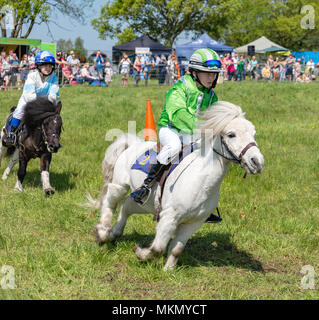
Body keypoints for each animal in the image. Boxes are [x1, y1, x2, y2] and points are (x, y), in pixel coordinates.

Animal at [90, 102, 264, 270]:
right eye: (231, 134)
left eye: (253, 133)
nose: (257, 162)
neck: (200, 181)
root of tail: (134, 144)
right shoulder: (169, 218)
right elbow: (158, 248)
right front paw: (140, 253)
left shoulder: (193, 223)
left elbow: (176, 249)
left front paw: (168, 271)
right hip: (120, 186)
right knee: (110, 202)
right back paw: (102, 232)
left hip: (146, 203)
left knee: (126, 208)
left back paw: (114, 233)